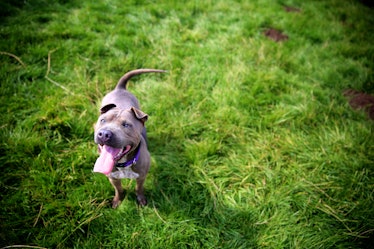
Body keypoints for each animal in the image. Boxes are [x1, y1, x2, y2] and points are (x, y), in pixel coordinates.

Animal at [93, 68, 165, 208]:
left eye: (126, 125)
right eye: (103, 120)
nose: (104, 134)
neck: (123, 163)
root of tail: (120, 88)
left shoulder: (141, 177)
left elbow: (138, 188)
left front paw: (141, 200)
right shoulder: (113, 178)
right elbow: (119, 190)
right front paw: (117, 201)